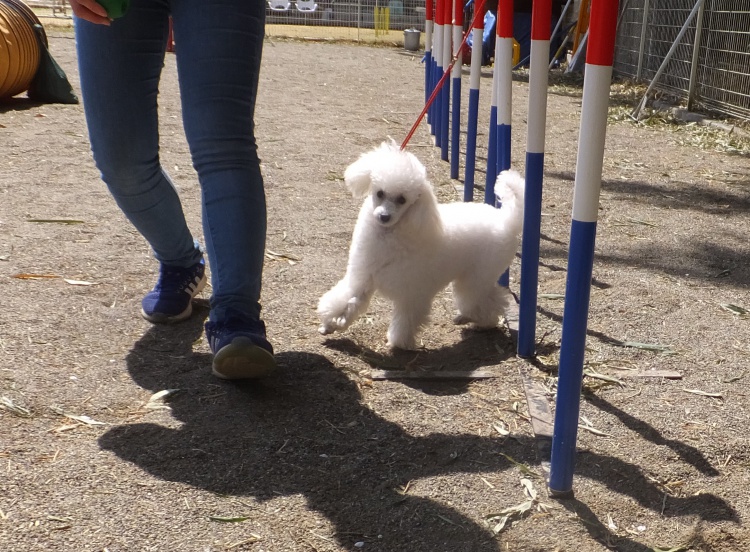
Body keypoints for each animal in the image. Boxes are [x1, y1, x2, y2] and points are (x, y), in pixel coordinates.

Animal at [317, 141, 525, 350]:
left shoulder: (412, 294)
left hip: (477, 277)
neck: (389, 237)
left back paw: (478, 321)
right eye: (380, 193)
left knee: (490, 301)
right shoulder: (363, 278)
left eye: (402, 199)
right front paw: (332, 324)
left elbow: (405, 320)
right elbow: (348, 301)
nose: (384, 216)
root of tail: (506, 220)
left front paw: (397, 342)